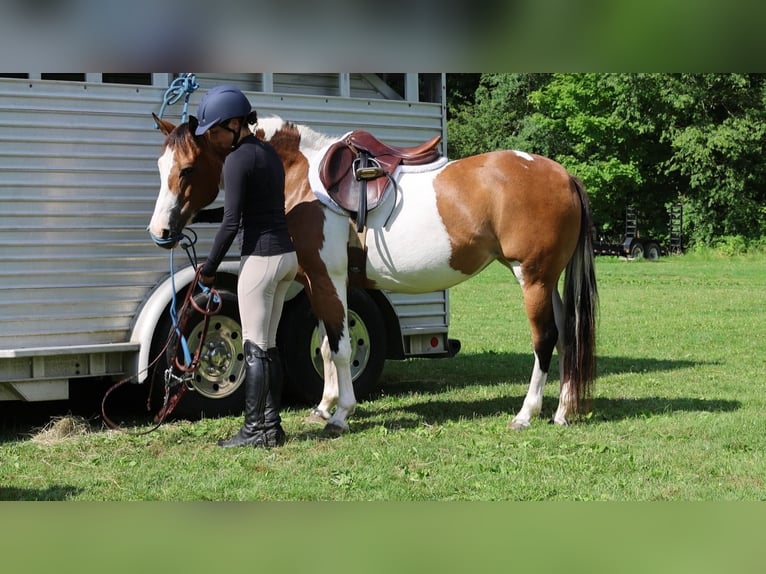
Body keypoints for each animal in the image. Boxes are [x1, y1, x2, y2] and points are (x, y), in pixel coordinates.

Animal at [148, 113, 598, 435]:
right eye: (160, 165)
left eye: (187, 168)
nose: (161, 232)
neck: (300, 176)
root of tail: (564, 175)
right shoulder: (315, 281)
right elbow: (326, 347)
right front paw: (322, 407)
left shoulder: (328, 278)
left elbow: (341, 348)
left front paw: (340, 415)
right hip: (547, 281)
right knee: (568, 334)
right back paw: (563, 410)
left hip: (533, 277)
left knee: (545, 338)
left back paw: (527, 413)